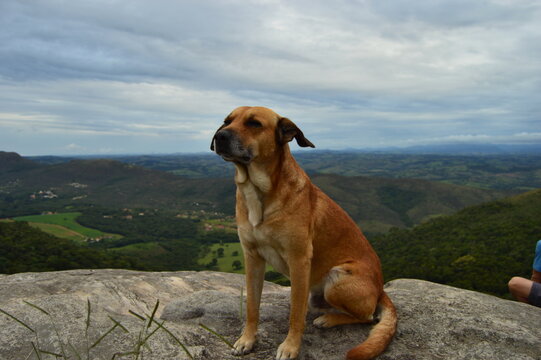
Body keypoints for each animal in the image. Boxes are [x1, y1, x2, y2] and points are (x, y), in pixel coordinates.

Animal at [212, 105, 396, 358]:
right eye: (226, 121)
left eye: (254, 123)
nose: (219, 136)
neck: (260, 193)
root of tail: (380, 290)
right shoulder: (252, 258)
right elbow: (252, 306)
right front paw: (247, 339)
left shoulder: (298, 261)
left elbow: (296, 314)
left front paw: (291, 347)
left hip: (338, 278)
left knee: (367, 317)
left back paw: (328, 319)